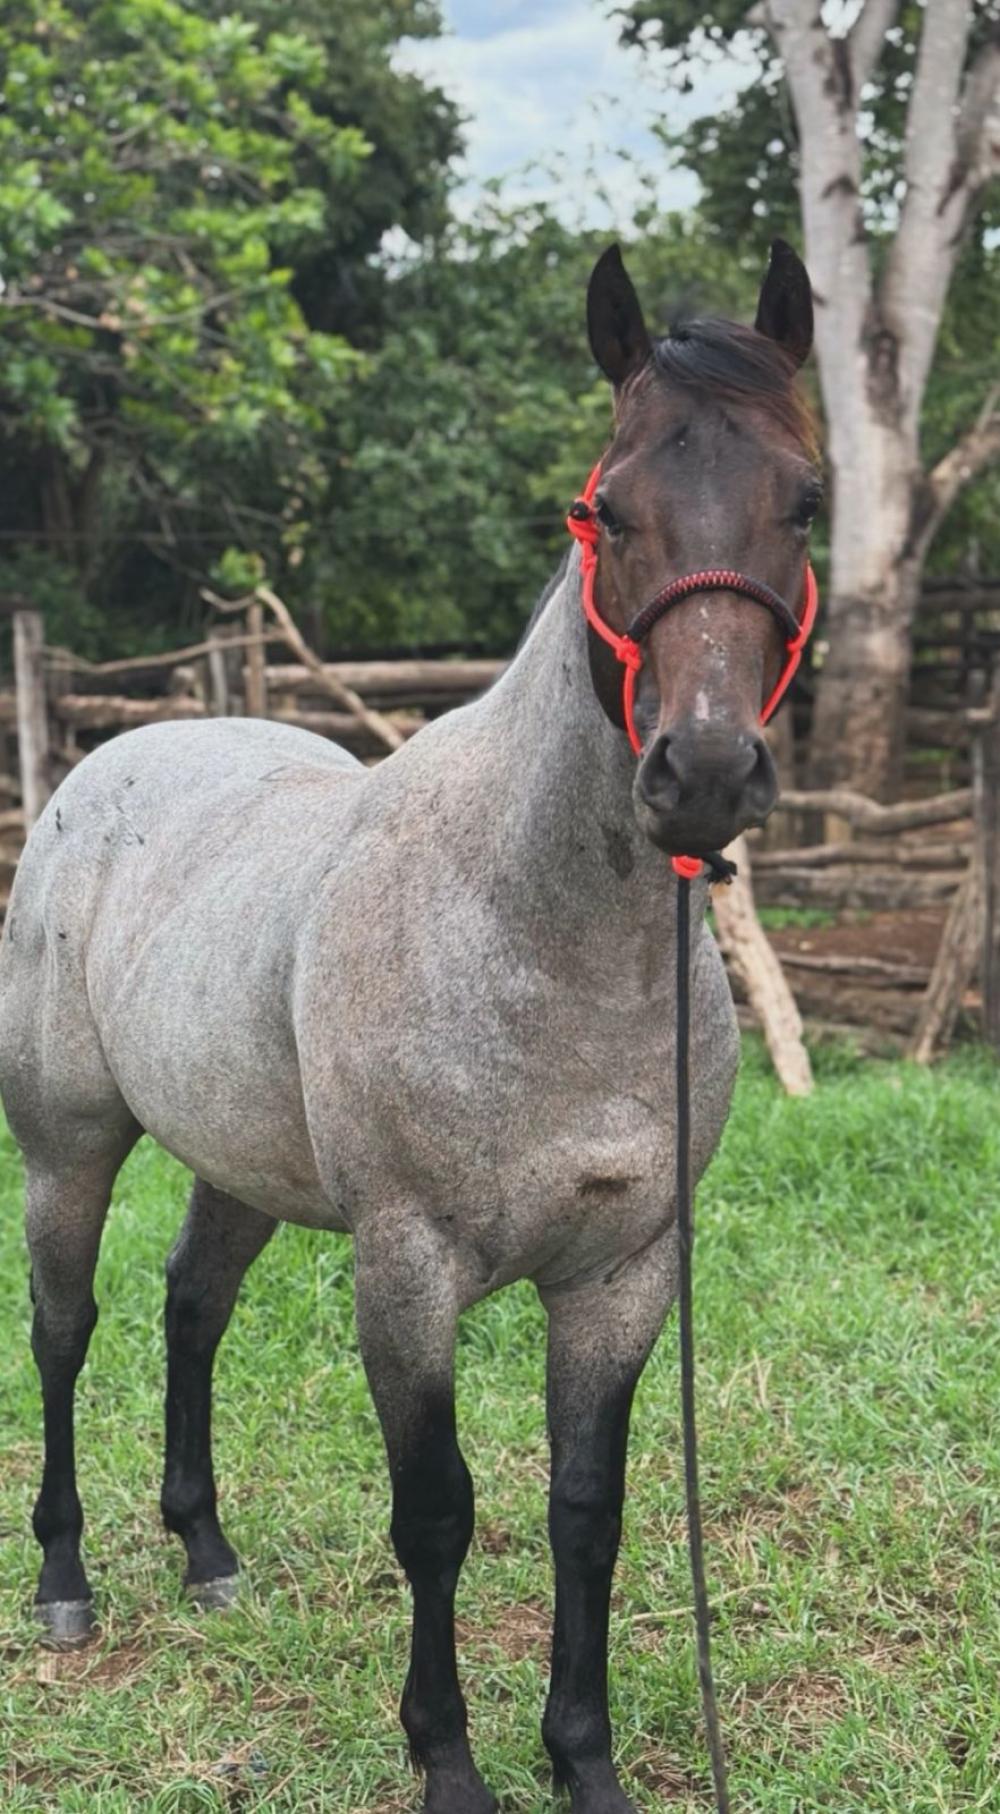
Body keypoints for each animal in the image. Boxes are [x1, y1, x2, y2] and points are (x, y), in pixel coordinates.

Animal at [0, 240, 818, 1814]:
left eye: (803, 499)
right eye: (601, 508)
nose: (698, 771)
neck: (534, 934)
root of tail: (109, 758)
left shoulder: (624, 1272)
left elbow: (585, 1509)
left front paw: (584, 1761)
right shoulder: (409, 1266)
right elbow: (436, 1512)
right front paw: (448, 1760)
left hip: (241, 1164)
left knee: (191, 1305)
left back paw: (207, 1553)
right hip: (70, 1148)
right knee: (65, 1329)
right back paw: (66, 1581)